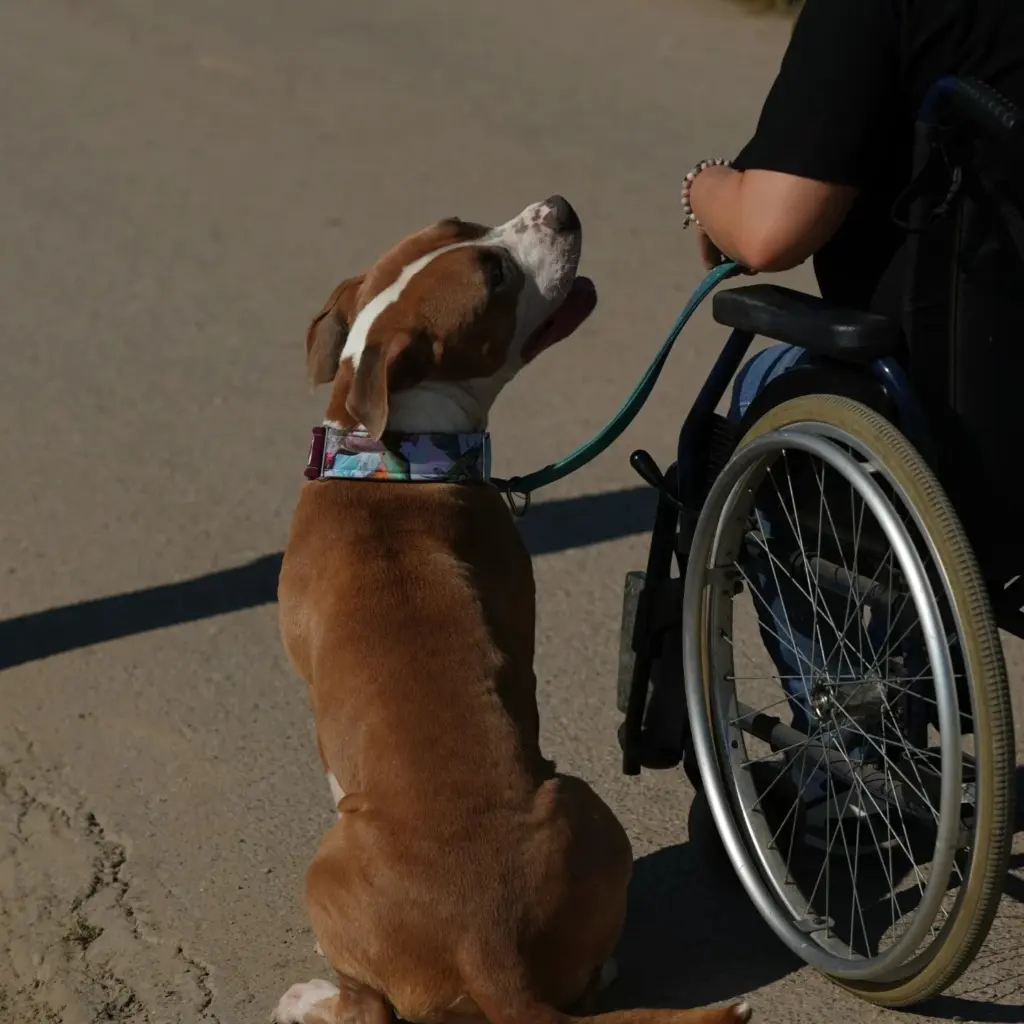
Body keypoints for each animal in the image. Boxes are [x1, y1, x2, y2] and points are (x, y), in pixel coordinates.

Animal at [274, 196, 753, 1024]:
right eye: (492, 272)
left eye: (462, 227)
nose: (559, 207)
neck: (397, 455)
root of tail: (487, 947)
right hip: (581, 803)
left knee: (369, 1007)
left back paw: (312, 995)